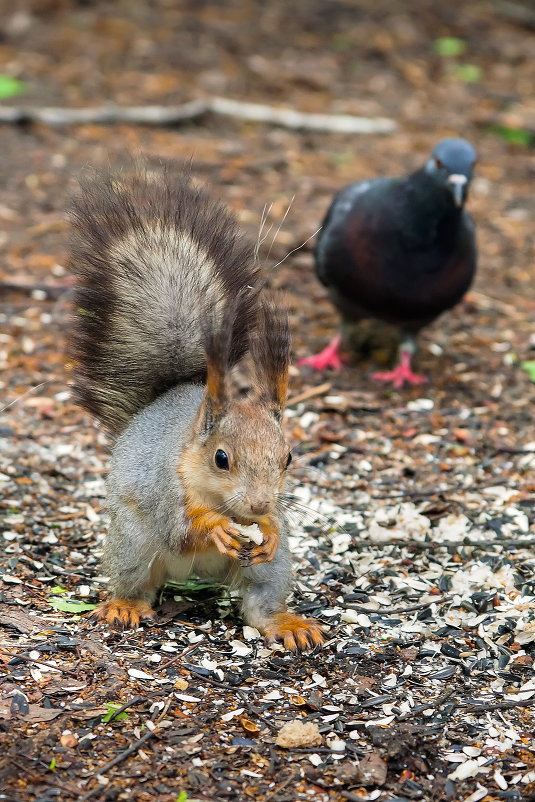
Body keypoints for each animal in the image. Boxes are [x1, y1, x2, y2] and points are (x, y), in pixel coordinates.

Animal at [68, 162, 324, 648]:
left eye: (288, 457)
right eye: (221, 458)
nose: (259, 506)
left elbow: (274, 529)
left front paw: (270, 529)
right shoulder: (165, 488)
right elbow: (180, 528)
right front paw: (214, 528)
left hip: (272, 572)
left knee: (260, 601)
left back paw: (286, 623)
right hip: (131, 542)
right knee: (137, 582)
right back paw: (125, 605)